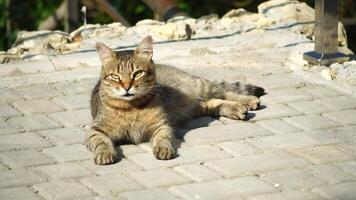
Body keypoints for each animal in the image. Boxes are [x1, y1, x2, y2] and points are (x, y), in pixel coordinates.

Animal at [86, 35, 264, 164]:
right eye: (115, 76)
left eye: (137, 73)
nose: (127, 87)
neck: (132, 107)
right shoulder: (96, 131)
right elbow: (101, 142)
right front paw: (105, 154)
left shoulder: (162, 126)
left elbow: (162, 138)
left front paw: (163, 149)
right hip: (196, 105)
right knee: (213, 102)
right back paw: (237, 108)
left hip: (200, 85)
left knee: (222, 91)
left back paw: (249, 100)